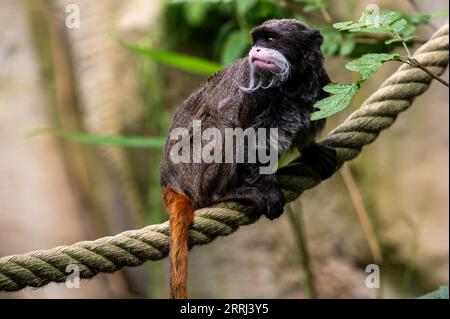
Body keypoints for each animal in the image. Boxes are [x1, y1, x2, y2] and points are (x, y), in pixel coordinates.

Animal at [160, 19, 336, 300]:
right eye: (256, 40)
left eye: (270, 40)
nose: (256, 50)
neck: (290, 86)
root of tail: (168, 180)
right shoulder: (252, 97)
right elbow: (249, 143)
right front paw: (265, 189)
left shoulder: (320, 86)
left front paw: (311, 151)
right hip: (192, 172)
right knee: (224, 129)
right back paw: (229, 193)